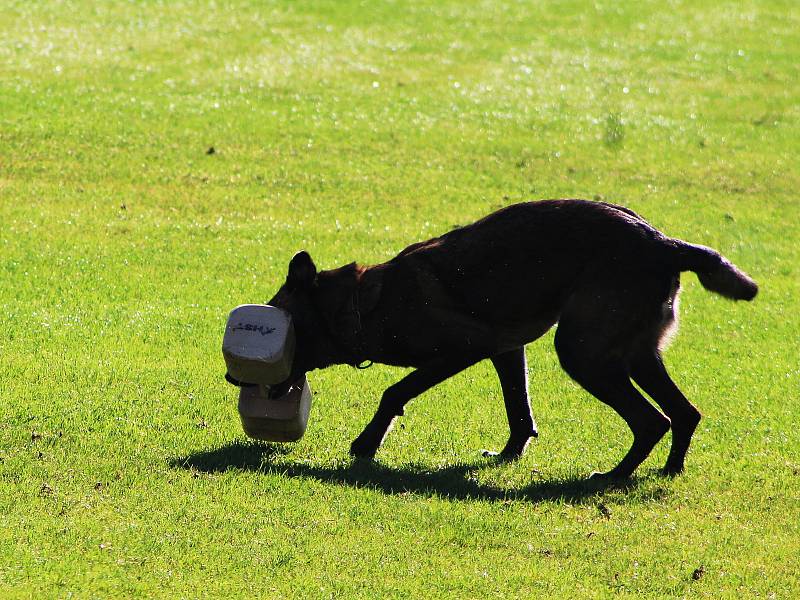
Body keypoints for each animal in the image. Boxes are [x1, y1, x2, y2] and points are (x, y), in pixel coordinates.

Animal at [262, 199, 756, 480]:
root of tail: (664, 243)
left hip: (583, 354)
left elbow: (395, 391)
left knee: (653, 420)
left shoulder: (465, 348)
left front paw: (366, 444)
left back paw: (612, 477)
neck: (364, 304)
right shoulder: (505, 348)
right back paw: (668, 472)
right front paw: (508, 455)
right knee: (684, 414)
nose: (247, 383)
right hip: (635, 353)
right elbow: (518, 410)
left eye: (284, 329)